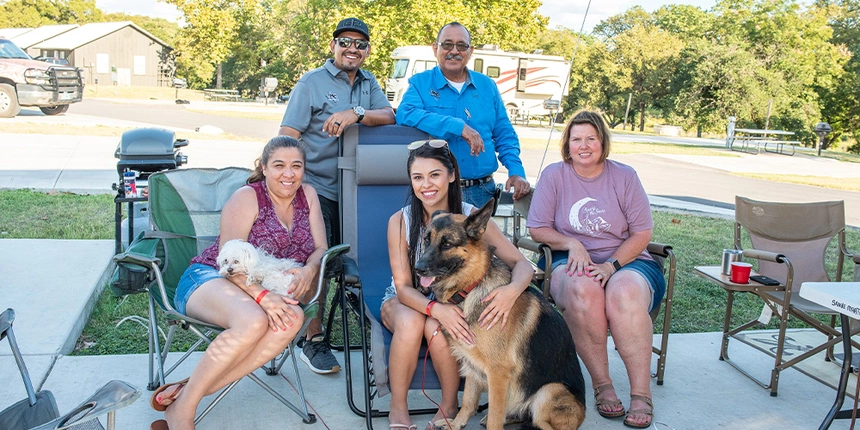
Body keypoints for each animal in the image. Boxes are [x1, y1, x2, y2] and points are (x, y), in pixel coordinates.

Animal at [414, 202, 584, 430]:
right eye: (427, 240)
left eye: (447, 244)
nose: (418, 269)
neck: (471, 287)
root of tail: (582, 413)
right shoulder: (471, 362)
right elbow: (468, 401)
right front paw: (456, 423)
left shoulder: (498, 373)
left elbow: (495, 413)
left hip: (548, 391)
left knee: (539, 422)